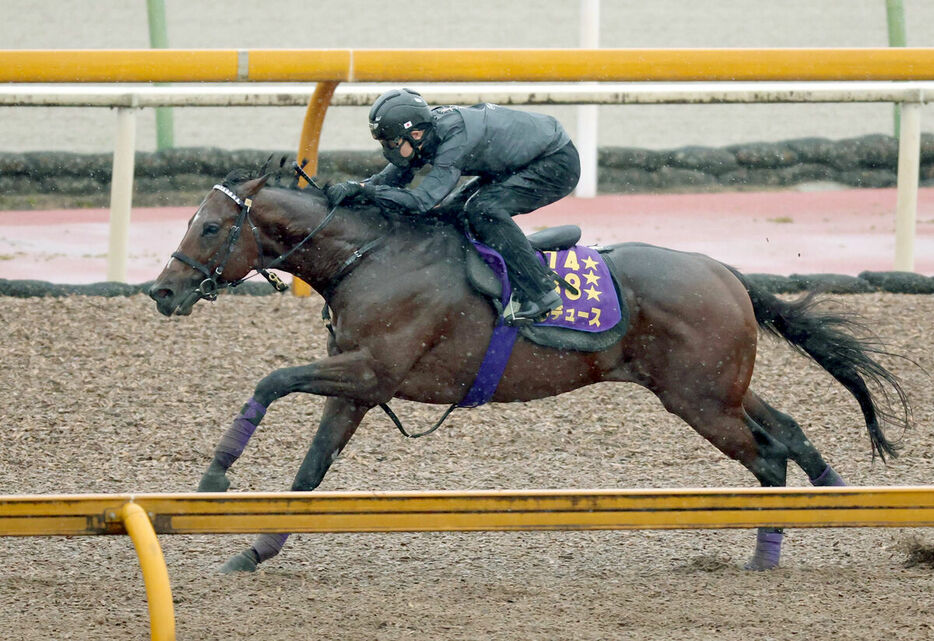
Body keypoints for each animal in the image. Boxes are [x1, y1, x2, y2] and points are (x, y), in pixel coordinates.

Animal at [150, 168, 912, 572]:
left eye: (210, 227)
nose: (162, 290)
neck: (371, 256)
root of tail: (724, 270)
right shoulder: (360, 387)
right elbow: (310, 471)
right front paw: (254, 549)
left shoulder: (369, 372)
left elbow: (270, 382)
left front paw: (215, 476)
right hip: (718, 389)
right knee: (791, 431)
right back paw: (838, 505)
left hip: (700, 400)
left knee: (770, 451)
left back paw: (771, 549)